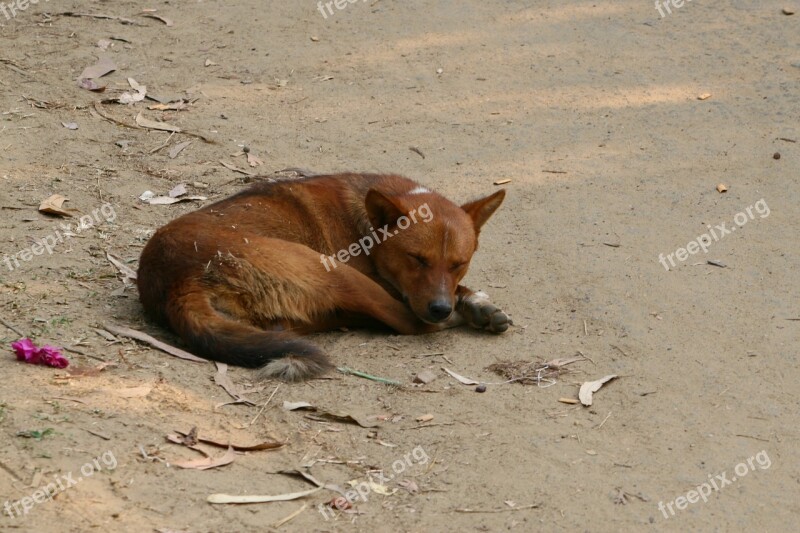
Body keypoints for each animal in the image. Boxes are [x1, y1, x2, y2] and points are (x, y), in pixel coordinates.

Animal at [138, 172, 510, 380]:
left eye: (458, 263)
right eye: (416, 259)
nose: (440, 308)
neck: (369, 229)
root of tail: (176, 280)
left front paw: (477, 302)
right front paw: (469, 305)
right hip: (331, 270)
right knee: (406, 321)